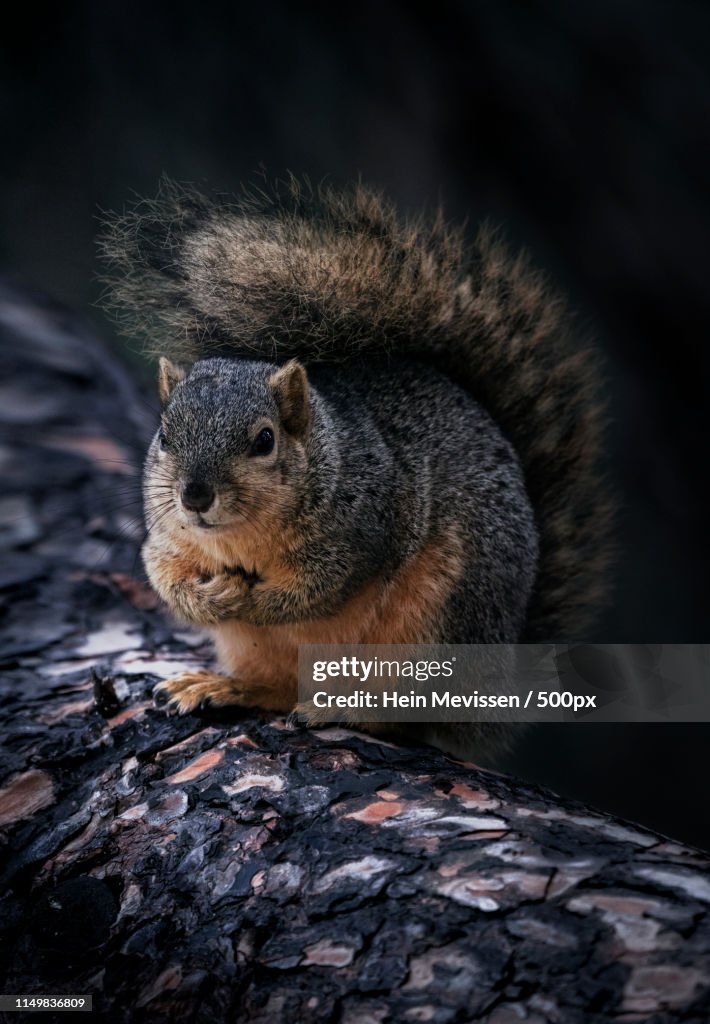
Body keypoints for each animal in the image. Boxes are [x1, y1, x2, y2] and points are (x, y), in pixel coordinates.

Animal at [99, 177, 611, 760]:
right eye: (164, 435)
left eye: (264, 440)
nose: (195, 496)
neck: (240, 539)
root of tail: (499, 676)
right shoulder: (168, 537)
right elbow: (163, 575)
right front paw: (211, 598)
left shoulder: (367, 525)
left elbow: (322, 584)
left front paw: (256, 600)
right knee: (278, 688)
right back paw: (221, 686)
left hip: (435, 629)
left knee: (410, 718)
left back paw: (347, 710)